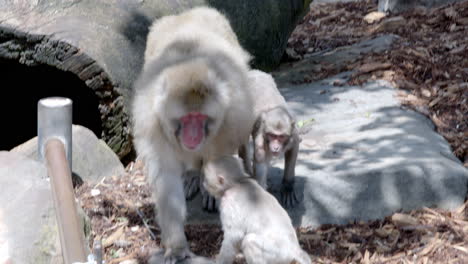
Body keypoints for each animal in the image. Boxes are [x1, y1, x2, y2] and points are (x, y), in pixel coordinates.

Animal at [132, 6, 256, 264]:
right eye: (186, 119)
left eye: (199, 118)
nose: (192, 137)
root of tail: (186, 13)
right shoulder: (153, 123)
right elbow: (165, 177)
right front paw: (177, 245)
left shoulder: (231, 116)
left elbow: (220, 160)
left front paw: (212, 189)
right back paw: (191, 174)